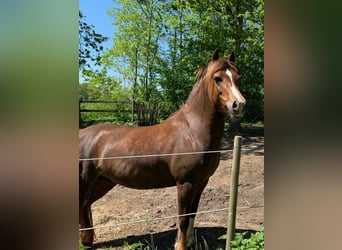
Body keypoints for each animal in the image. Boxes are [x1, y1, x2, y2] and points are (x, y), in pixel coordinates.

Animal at [79, 49, 246, 249]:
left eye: (237, 77)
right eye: (217, 78)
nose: (239, 105)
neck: (192, 131)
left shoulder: (201, 181)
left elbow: (192, 213)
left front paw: (190, 241)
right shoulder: (185, 183)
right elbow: (182, 218)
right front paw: (180, 245)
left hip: (104, 181)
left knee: (85, 205)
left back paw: (87, 240)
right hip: (86, 181)